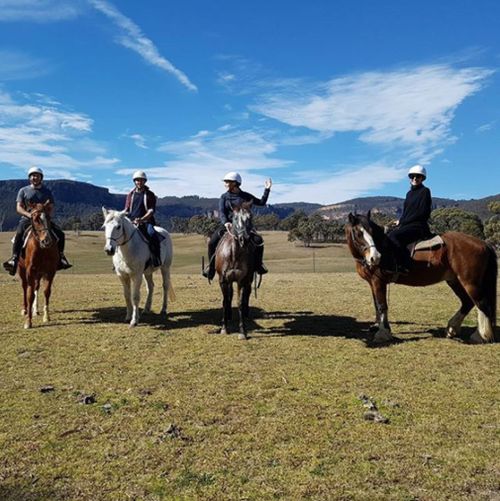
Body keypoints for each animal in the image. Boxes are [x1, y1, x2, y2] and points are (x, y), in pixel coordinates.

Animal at [17, 201, 59, 330]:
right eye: (35, 219)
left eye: (49, 218)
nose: (47, 241)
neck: (42, 249)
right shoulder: (30, 271)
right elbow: (30, 294)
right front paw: (28, 322)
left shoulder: (50, 271)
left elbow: (46, 292)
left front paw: (46, 316)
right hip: (22, 270)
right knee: (25, 287)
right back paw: (25, 309)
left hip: (39, 273)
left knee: (36, 287)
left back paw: (35, 310)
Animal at [216, 201, 258, 338]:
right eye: (234, 217)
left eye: (250, 217)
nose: (244, 239)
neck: (234, 254)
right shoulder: (223, 280)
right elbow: (225, 301)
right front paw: (224, 328)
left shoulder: (242, 280)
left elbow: (240, 302)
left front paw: (242, 331)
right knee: (229, 296)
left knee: (246, 296)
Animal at [346, 211, 498, 344]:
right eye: (358, 233)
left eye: (372, 232)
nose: (375, 257)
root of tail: (484, 243)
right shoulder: (372, 282)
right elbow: (376, 305)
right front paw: (377, 326)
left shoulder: (378, 281)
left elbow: (382, 306)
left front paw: (383, 333)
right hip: (455, 281)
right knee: (467, 302)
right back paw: (452, 328)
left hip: (470, 282)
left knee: (482, 304)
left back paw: (480, 336)